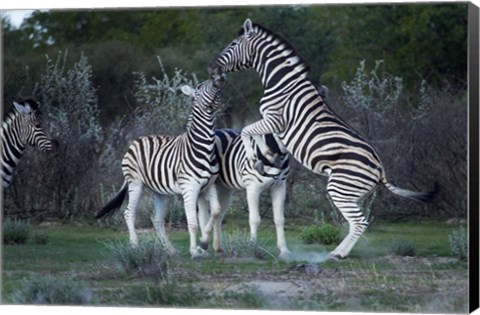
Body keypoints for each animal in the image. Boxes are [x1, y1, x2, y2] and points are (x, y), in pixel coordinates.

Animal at [96, 78, 226, 258]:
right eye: (199, 87)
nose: (216, 81)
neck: (204, 146)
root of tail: (137, 140)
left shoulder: (209, 185)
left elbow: (215, 212)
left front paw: (204, 243)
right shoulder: (190, 187)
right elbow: (193, 222)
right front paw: (194, 251)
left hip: (161, 192)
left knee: (157, 219)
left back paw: (170, 249)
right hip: (135, 183)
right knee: (129, 212)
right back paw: (135, 245)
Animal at [197, 128, 290, 260]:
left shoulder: (280, 186)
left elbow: (279, 219)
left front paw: (284, 251)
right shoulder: (253, 188)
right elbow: (255, 219)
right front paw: (252, 249)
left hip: (225, 188)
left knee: (219, 215)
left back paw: (218, 248)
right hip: (205, 184)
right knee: (203, 215)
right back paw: (204, 248)